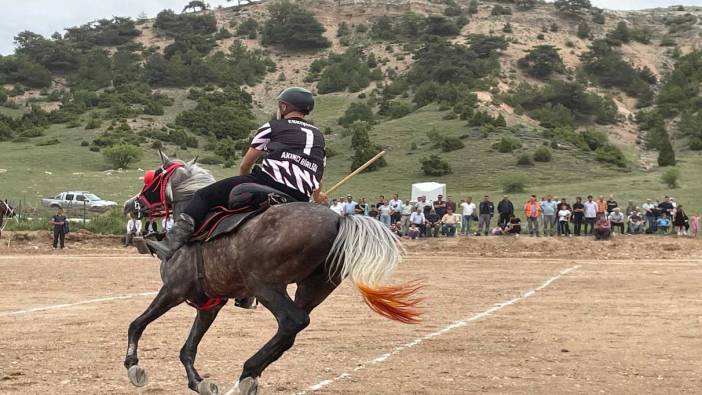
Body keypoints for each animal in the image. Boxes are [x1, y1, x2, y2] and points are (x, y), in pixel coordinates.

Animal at [123, 153, 420, 395]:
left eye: (152, 178)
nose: (130, 204)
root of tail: (339, 219)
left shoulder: (172, 290)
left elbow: (136, 324)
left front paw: (133, 366)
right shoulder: (209, 304)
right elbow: (188, 349)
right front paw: (199, 382)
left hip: (266, 284)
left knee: (292, 321)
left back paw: (248, 371)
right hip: (313, 288)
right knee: (291, 331)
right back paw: (251, 374)